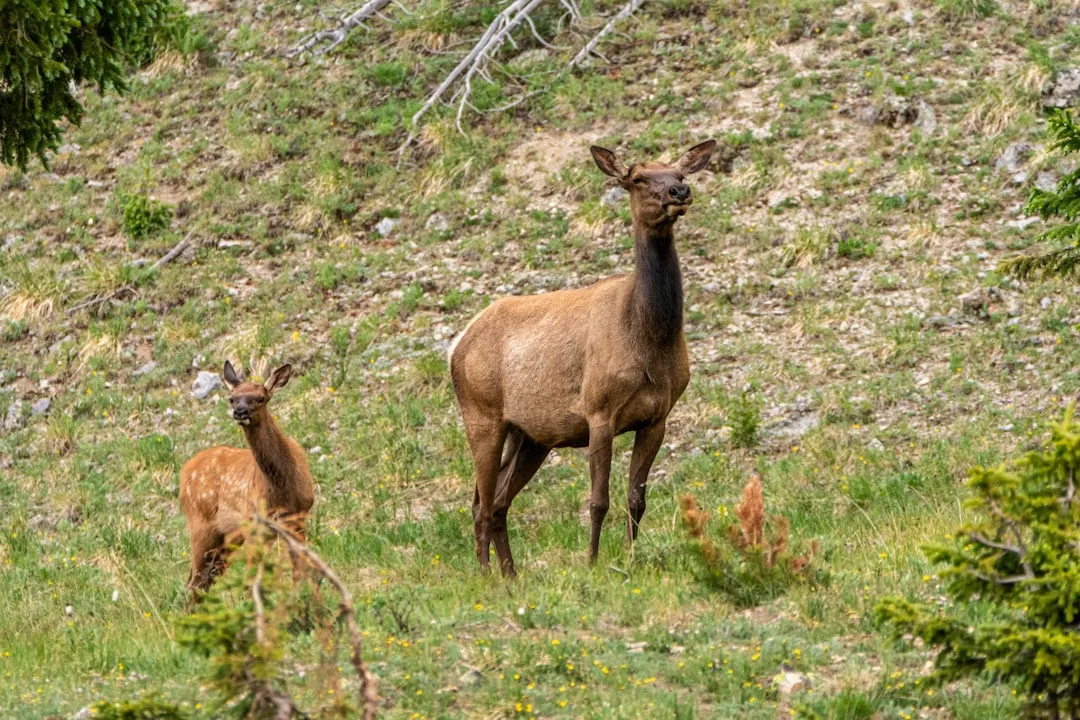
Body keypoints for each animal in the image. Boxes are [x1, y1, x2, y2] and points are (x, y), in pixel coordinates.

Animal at [179, 361, 315, 596]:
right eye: (232, 398)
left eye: (261, 397)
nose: (240, 411)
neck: (283, 488)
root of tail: (184, 473)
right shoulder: (255, 524)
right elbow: (255, 578)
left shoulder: (299, 516)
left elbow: (299, 569)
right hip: (202, 526)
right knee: (194, 582)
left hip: (226, 538)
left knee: (206, 578)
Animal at [448, 139, 716, 576]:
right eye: (637, 178)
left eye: (679, 173)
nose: (679, 192)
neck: (648, 340)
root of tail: (456, 345)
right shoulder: (598, 410)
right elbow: (598, 500)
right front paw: (592, 562)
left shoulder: (657, 417)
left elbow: (636, 499)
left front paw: (630, 558)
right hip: (481, 414)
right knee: (481, 504)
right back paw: (488, 576)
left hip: (530, 435)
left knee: (498, 500)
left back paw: (511, 574)